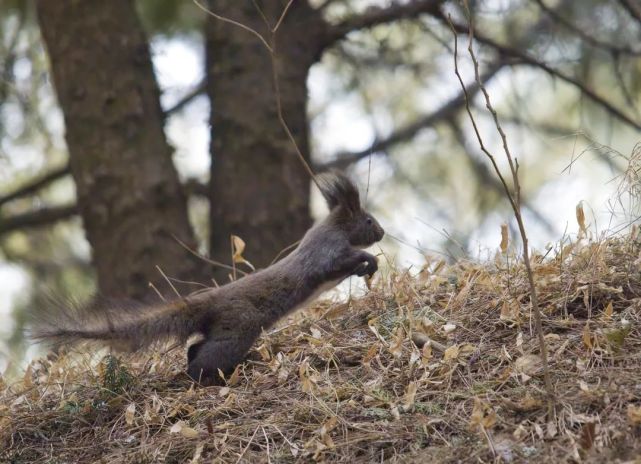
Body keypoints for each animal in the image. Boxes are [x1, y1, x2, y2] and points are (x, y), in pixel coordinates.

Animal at [30, 172, 382, 386]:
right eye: (368, 220)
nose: (381, 233)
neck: (333, 227)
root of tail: (208, 303)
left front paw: (368, 267)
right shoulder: (325, 252)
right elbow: (335, 264)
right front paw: (370, 261)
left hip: (223, 329)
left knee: (196, 347)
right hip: (238, 328)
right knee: (205, 358)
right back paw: (208, 375)